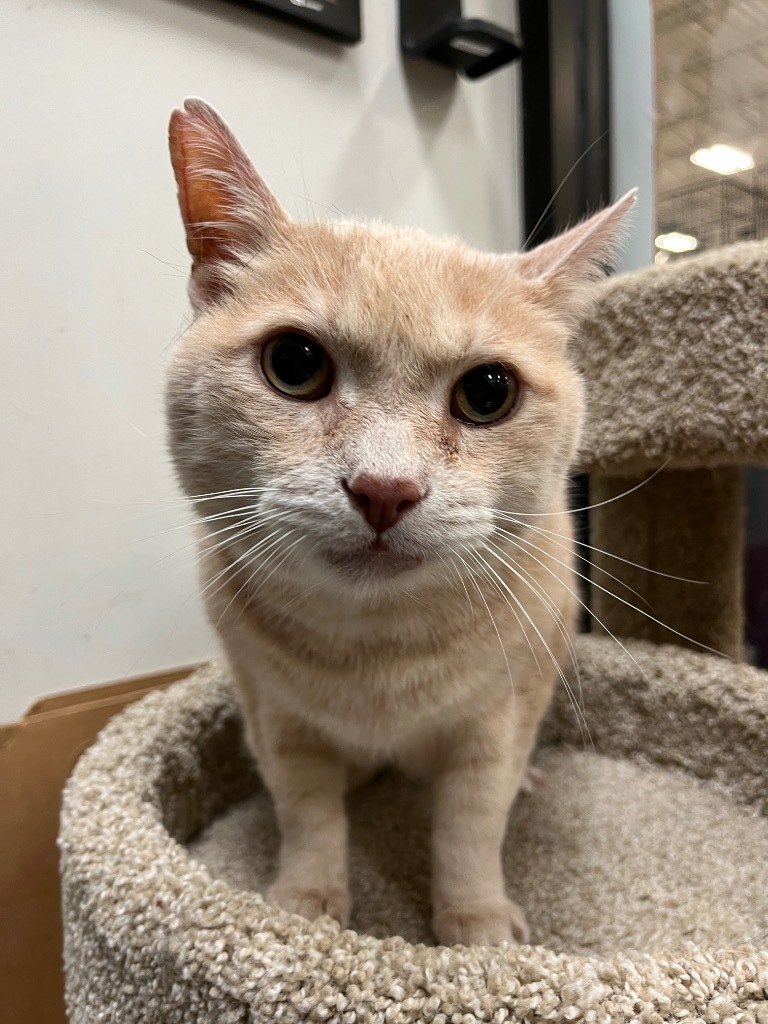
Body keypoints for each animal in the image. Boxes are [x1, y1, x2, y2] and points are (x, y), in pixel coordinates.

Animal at [165, 99, 634, 946]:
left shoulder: (496, 720)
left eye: (488, 392)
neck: (376, 653)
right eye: (294, 365)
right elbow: (308, 813)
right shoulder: (276, 717)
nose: (385, 489)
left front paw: (475, 923)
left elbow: (472, 825)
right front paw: (306, 902)